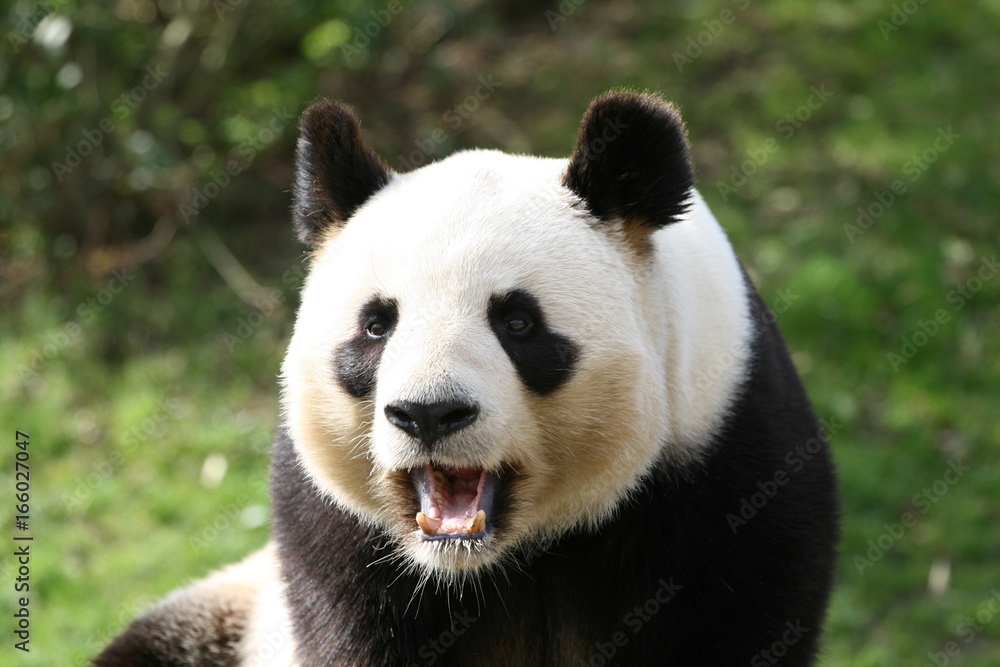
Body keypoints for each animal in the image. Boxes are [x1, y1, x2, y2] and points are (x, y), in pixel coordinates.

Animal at [96, 91, 839, 666]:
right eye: (377, 325)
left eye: (517, 321)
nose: (428, 414)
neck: (493, 559)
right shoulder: (336, 537)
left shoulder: (723, 462)